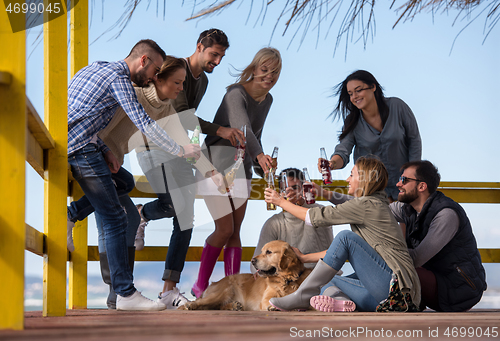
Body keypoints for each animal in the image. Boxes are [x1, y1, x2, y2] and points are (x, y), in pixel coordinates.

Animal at [180, 239, 312, 310]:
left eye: (269, 252)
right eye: (262, 251)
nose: (252, 261)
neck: (286, 280)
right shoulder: (266, 298)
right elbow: (270, 301)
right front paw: (273, 307)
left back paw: (233, 306)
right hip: (224, 291)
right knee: (201, 303)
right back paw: (190, 305)